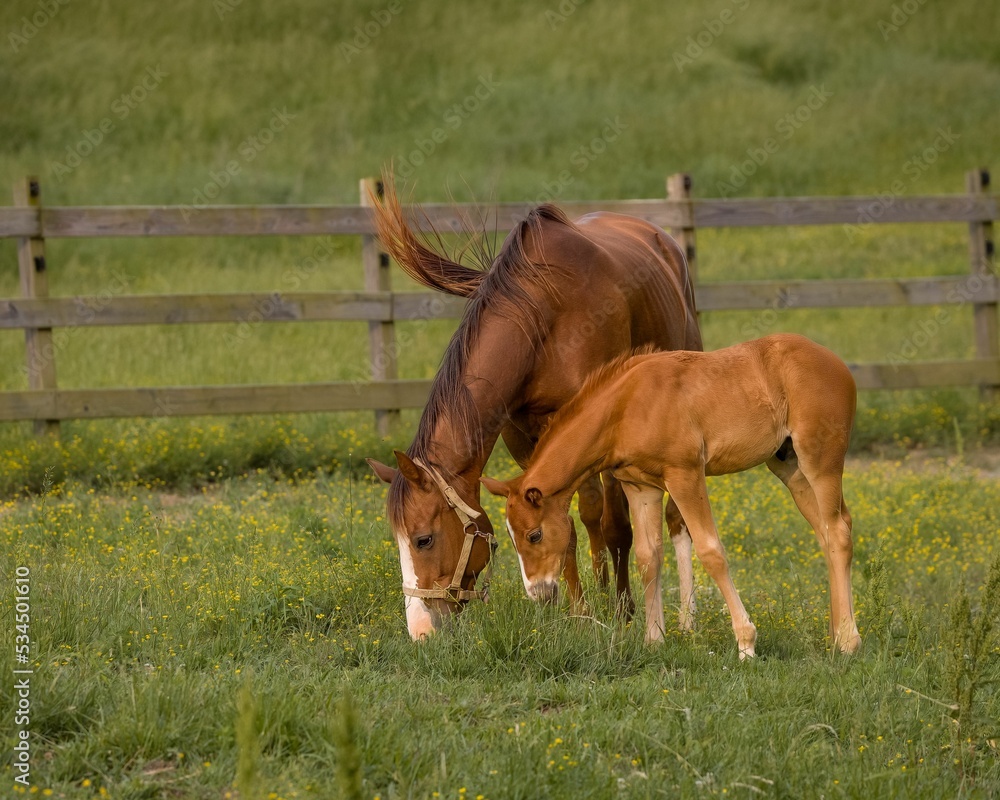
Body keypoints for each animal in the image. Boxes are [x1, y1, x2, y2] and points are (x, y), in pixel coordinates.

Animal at [368, 178, 704, 640]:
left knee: (665, 517)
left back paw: (680, 614)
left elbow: (612, 523)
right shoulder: (526, 442)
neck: (543, 315)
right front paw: (579, 613)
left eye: (423, 539)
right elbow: (565, 525)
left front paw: (620, 612)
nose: (420, 631)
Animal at [484, 334, 860, 660]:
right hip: (789, 467)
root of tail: (837, 362)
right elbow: (648, 557)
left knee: (839, 532)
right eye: (510, 539)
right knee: (827, 532)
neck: (625, 408)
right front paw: (654, 641)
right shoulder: (640, 487)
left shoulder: (685, 475)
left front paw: (746, 643)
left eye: (535, 535)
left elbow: (711, 551)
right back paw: (835, 632)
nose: (538, 592)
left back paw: (848, 641)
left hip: (820, 461)